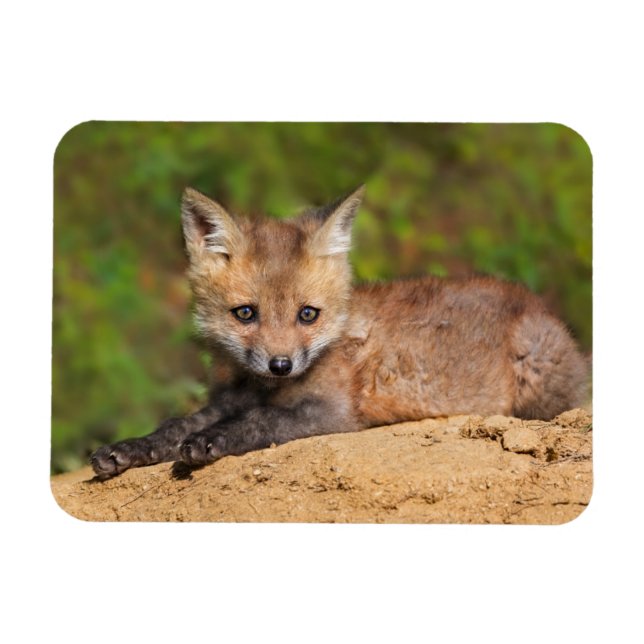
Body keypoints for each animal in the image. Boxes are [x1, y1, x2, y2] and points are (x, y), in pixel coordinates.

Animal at [90, 186, 588, 479]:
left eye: (308, 314)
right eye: (245, 313)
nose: (281, 364)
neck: (261, 387)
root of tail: (535, 302)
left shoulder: (332, 414)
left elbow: (261, 422)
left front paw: (210, 442)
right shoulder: (227, 399)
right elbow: (175, 424)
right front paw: (129, 449)